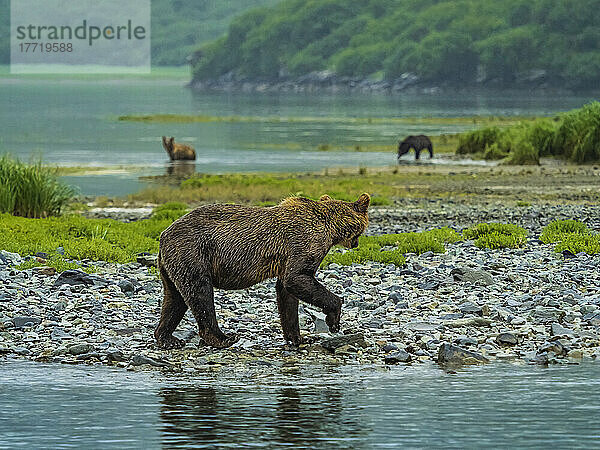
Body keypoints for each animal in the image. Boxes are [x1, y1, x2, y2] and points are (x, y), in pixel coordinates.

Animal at [155, 192, 370, 350]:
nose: (357, 244)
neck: (330, 227)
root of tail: (163, 235)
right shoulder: (304, 242)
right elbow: (297, 277)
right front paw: (334, 320)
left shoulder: (285, 260)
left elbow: (286, 292)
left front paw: (298, 337)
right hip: (193, 252)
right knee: (200, 293)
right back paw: (223, 338)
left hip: (172, 265)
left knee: (175, 298)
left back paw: (167, 338)